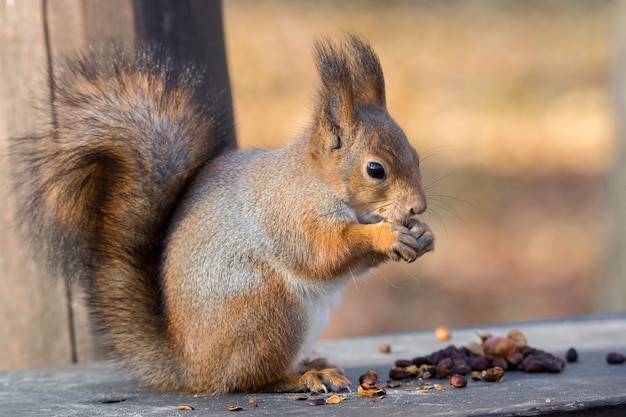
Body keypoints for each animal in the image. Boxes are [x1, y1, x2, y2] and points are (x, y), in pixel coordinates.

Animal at [8, 35, 434, 394]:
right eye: (375, 169)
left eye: (414, 155)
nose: (418, 207)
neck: (320, 182)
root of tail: (192, 369)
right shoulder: (289, 213)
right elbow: (321, 253)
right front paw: (386, 235)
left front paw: (423, 234)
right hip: (268, 309)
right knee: (251, 377)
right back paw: (303, 377)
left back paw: (312, 364)